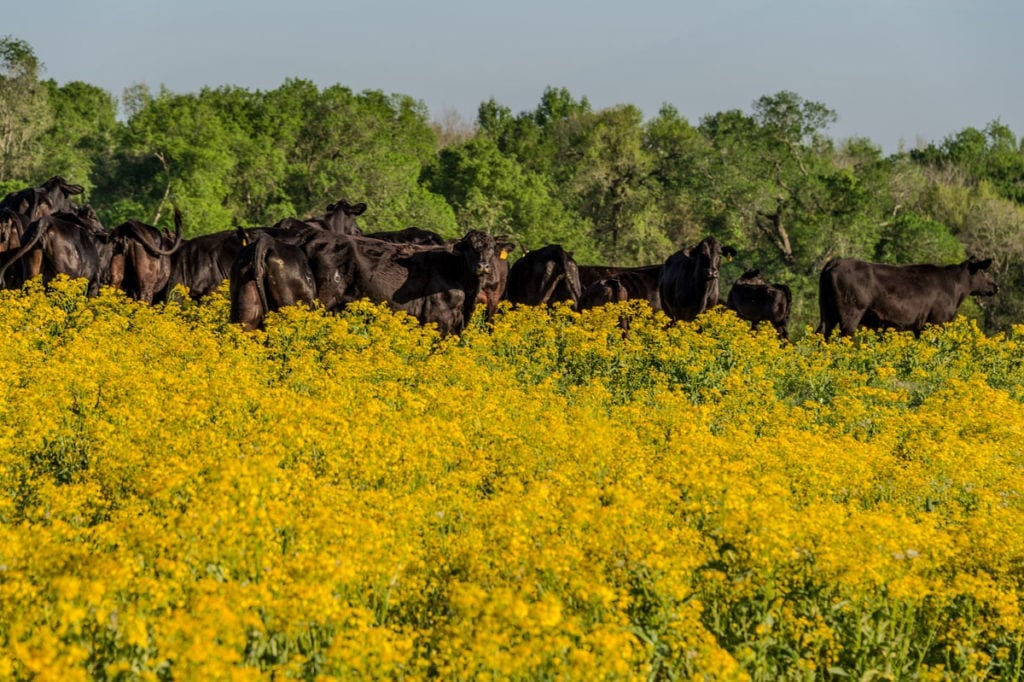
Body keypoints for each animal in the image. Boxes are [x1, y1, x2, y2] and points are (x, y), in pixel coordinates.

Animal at [815, 254, 999, 337]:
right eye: (984, 271)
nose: (996, 286)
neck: (956, 287)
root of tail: (836, 261)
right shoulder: (938, 320)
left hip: (828, 311)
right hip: (851, 311)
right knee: (845, 335)